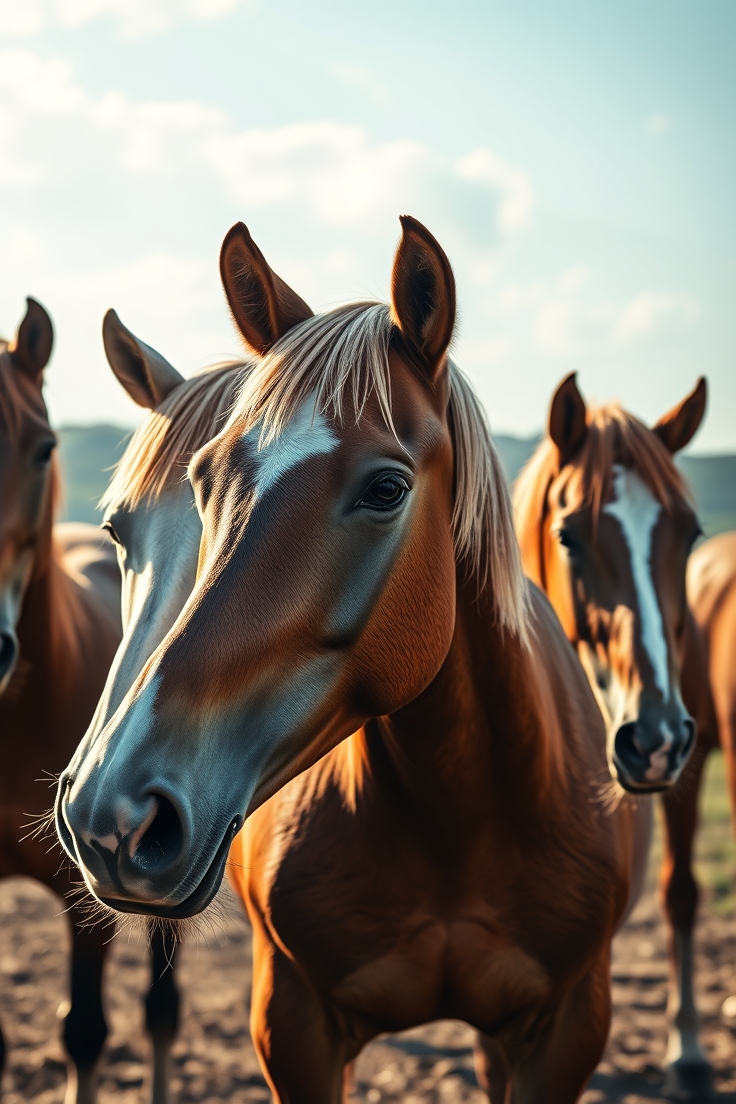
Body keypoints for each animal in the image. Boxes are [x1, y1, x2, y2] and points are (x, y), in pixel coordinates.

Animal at [56, 217, 654, 1103]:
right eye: (206, 479)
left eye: (385, 489)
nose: (113, 812)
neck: (457, 817)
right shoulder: (293, 1025)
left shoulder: (565, 1030)